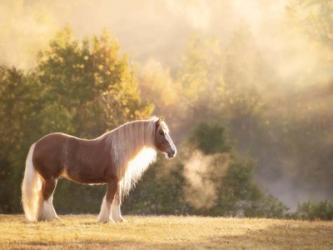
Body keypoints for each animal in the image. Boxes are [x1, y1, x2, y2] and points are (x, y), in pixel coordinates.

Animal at [20, 117, 176, 223]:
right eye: (161, 133)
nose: (173, 152)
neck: (119, 149)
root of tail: (37, 144)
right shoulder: (113, 181)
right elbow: (109, 199)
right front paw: (106, 220)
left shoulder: (117, 182)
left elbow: (116, 200)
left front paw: (119, 219)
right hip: (51, 179)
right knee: (47, 197)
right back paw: (53, 218)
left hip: (47, 179)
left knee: (43, 196)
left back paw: (42, 218)